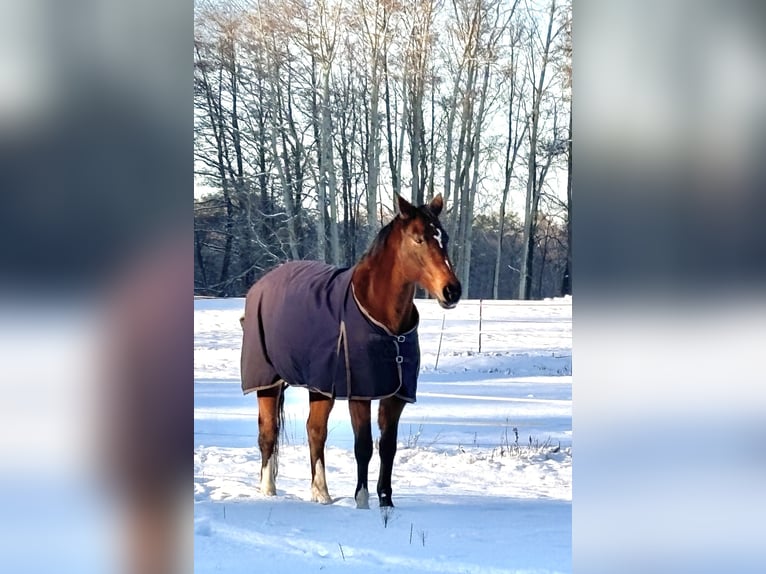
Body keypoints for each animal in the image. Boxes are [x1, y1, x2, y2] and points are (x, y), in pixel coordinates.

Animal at [240, 193, 461, 509]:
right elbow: (364, 446)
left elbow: (388, 447)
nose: (452, 291)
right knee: (268, 431)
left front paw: (386, 502)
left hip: (321, 387)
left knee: (315, 431)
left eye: (444, 238)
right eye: (418, 239)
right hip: (268, 382)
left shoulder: (395, 395)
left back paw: (321, 493)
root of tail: (261, 284)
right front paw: (363, 500)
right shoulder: (360, 392)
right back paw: (268, 490)